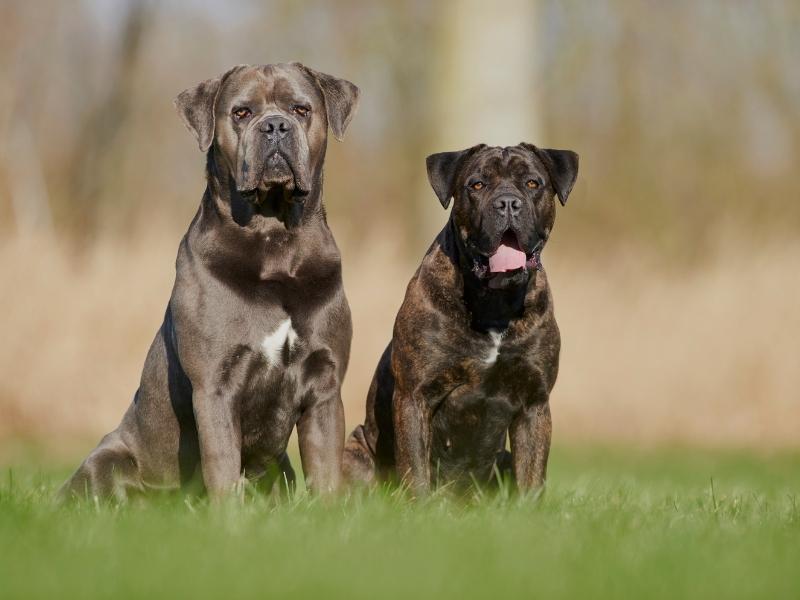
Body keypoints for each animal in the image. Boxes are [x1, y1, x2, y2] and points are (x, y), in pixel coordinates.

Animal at [61, 63, 360, 502]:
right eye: (241, 112)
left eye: (301, 109)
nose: (275, 126)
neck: (275, 238)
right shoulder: (215, 385)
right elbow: (222, 464)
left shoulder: (324, 385)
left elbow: (325, 470)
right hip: (107, 459)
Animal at [340, 143, 580, 494]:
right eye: (477, 185)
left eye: (532, 183)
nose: (508, 203)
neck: (494, 302)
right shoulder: (415, 397)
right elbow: (416, 470)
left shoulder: (534, 404)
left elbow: (532, 478)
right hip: (355, 452)